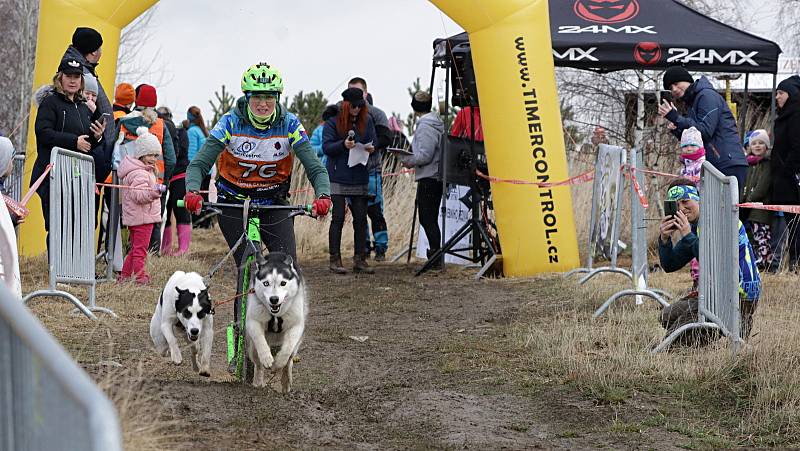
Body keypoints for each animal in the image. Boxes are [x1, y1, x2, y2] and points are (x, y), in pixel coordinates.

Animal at [245, 252, 308, 394]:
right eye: (266, 283)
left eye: (283, 283)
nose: (274, 299)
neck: (275, 315)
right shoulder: (253, 321)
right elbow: (260, 339)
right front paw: (267, 358)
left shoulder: (296, 324)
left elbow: (287, 349)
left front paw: (278, 363)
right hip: (252, 348)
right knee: (257, 363)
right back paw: (258, 380)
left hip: (296, 346)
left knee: (289, 360)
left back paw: (286, 380)